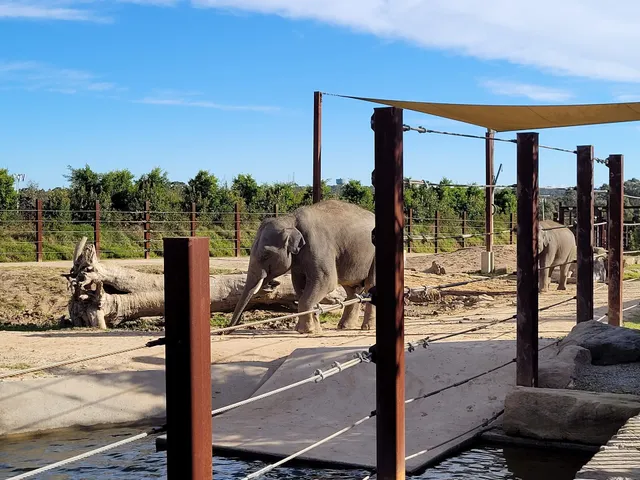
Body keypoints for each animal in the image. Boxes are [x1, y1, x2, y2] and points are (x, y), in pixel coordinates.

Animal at [228, 199, 376, 334]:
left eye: (265, 255)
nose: (227, 331)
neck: (291, 220)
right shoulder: (298, 260)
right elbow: (299, 285)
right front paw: (312, 329)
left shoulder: (319, 246)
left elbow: (326, 282)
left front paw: (306, 330)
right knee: (352, 289)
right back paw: (344, 326)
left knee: (370, 285)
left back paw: (367, 327)